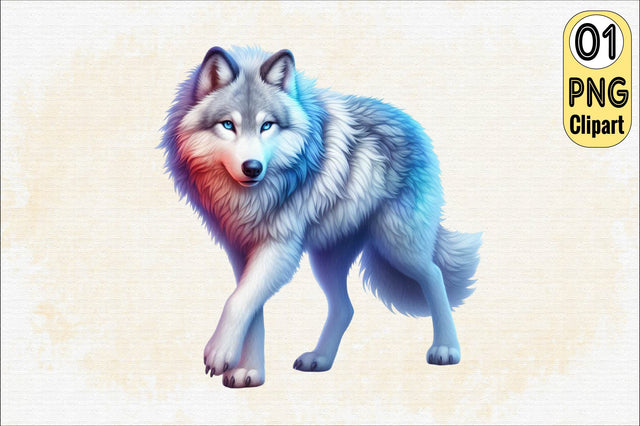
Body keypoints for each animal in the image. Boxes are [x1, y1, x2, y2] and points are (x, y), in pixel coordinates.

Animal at [161, 46, 481, 388]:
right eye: (228, 125)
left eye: (267, 125)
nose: (253, 168)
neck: (249, 198)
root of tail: (409, 122)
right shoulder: (241, 250)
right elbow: (250, 306)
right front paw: (250, 372)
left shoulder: (279, 247)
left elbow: (237, 301)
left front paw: (220, 354)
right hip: (328, 259)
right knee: (345, 309)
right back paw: (320, 359)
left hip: (398, 246)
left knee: (434, 275)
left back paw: (446, 348)